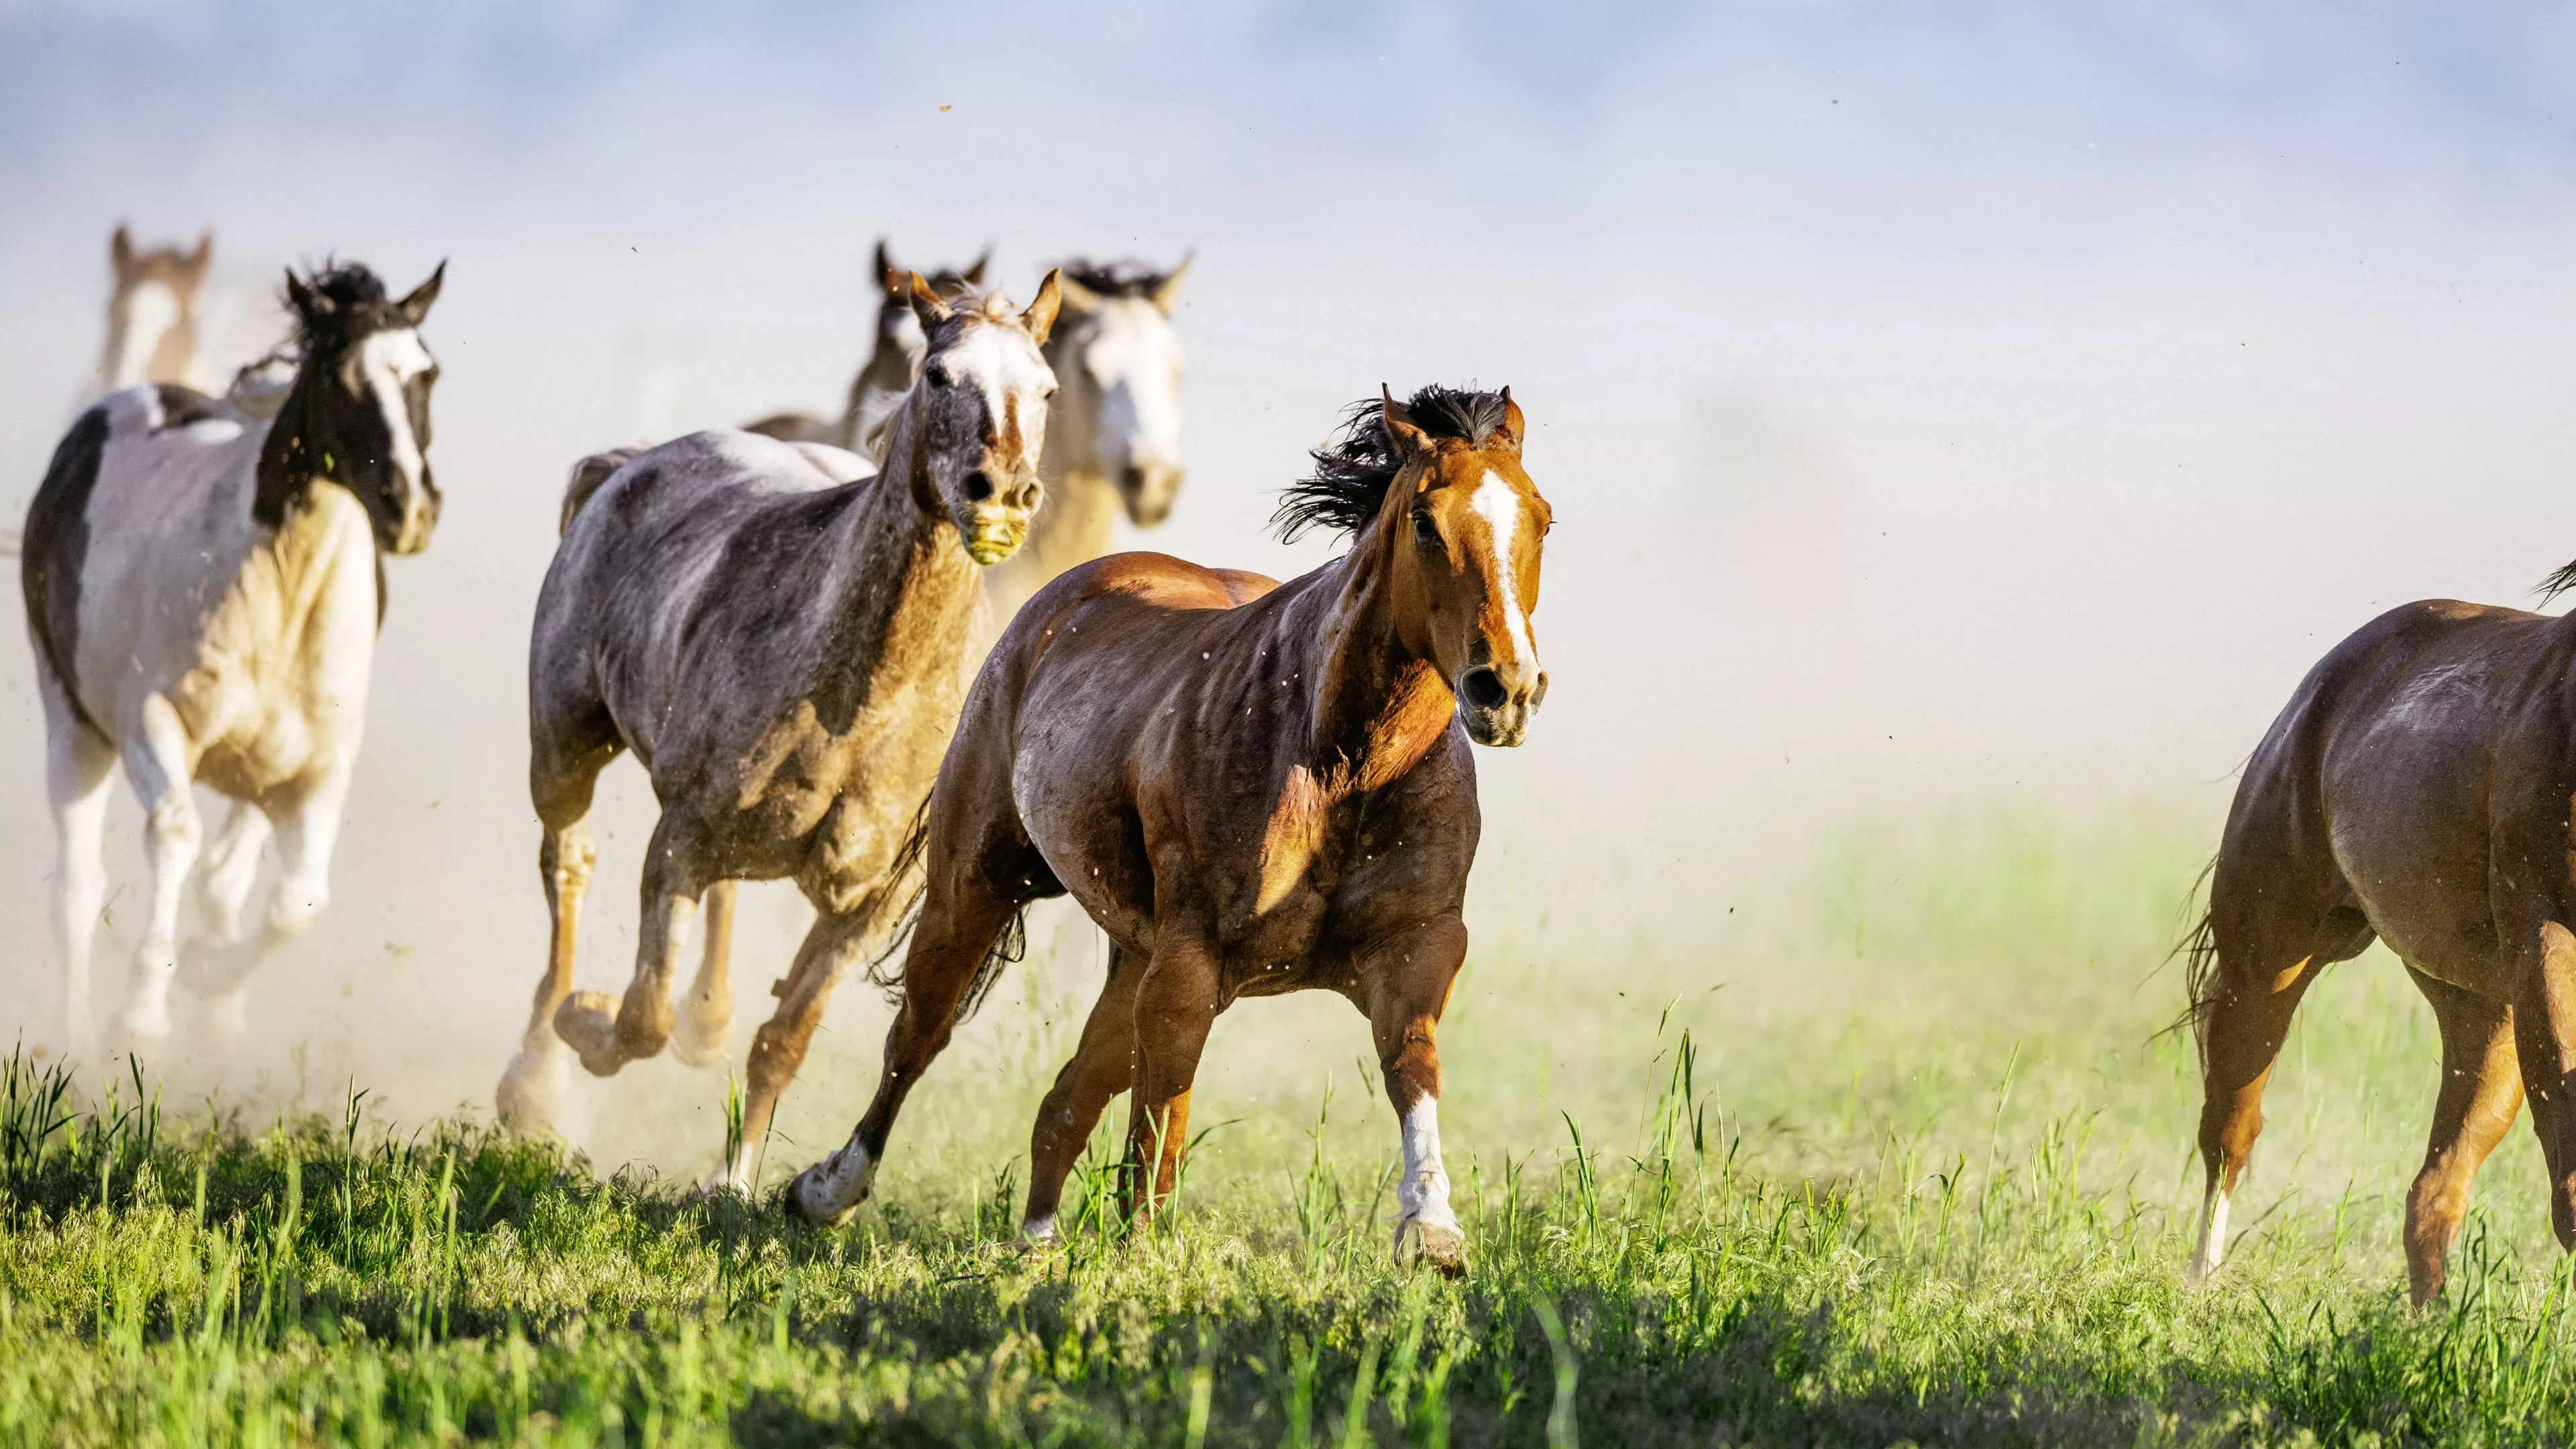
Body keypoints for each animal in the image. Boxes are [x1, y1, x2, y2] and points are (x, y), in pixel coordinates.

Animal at [25, 256, 445, 1046]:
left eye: (427, 373)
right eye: (338, 374)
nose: (410, 507)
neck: (279, 588)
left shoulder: (318, 769)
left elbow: (296, 902)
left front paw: (206, 977)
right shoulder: (151, 724)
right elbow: (176, 835)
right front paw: (142, 1014)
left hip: (257, 773)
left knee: (226, 877)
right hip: (74, 727)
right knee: (76, 891)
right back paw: (76, 1039)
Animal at [783, 378, 1546, 1268]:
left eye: (1541, 518)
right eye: (1426, 521)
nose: (1506, 687)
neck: (1338, 762)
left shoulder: (1417, 947)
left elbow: (1410, 1067)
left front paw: (1431, 1227)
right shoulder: (1190, 969)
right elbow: (1159, 1125)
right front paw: (1143, 1248)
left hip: (1132, 958)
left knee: (1069, 1098)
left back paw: (1036, 1246)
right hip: (973, 893)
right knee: (917, 1040)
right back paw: (827, 1191)